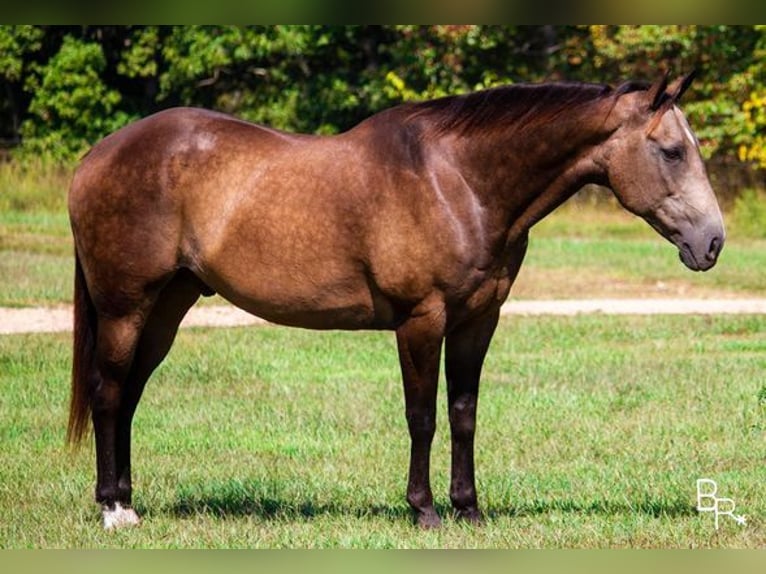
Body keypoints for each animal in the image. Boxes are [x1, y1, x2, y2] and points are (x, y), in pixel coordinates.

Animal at [66, 71, 728, 532]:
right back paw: (113, 511)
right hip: (126, 308)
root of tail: (95, 157)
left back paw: (127, 499)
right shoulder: (421, 320)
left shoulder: (477, 321)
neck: (458, 181)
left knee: (128, 397)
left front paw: (469, 509)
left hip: (167, 307)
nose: (712, 242)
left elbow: (463, 413)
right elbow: (422, 416)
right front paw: (424, 510)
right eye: (672, 151)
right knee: (108, 393)